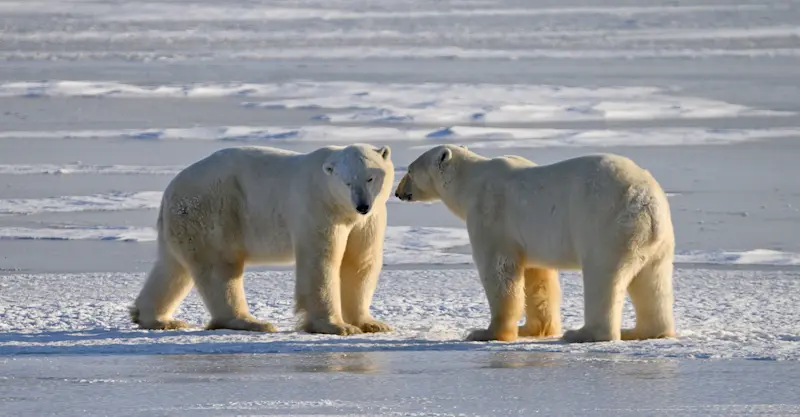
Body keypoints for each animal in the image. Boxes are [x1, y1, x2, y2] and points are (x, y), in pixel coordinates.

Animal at [130, 143, 395, 336]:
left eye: (370, 178)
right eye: (347, 182)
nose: (362, 205)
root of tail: (170, 190)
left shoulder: (369, 219)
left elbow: (360, 262)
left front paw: (372, 324)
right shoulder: (317, 208)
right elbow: (322, 262)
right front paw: (336, 326)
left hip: (183, 221)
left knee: (172, 268)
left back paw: (157, 318)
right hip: (212, 211)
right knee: (220, 268)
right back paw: (252, 322)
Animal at [394, 144, 675, 343]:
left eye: (409, 170)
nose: (397, 193)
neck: (470, 183)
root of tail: (646, 199)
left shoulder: (490, 215)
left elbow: (499, 271)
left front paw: (486, 332)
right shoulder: (529, 238)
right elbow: (537, 277)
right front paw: (531, 328)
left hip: (604, 222)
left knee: (603, 276)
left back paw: (584, 333)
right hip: (656, 239)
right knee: (653, 280)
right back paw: (643, 331)